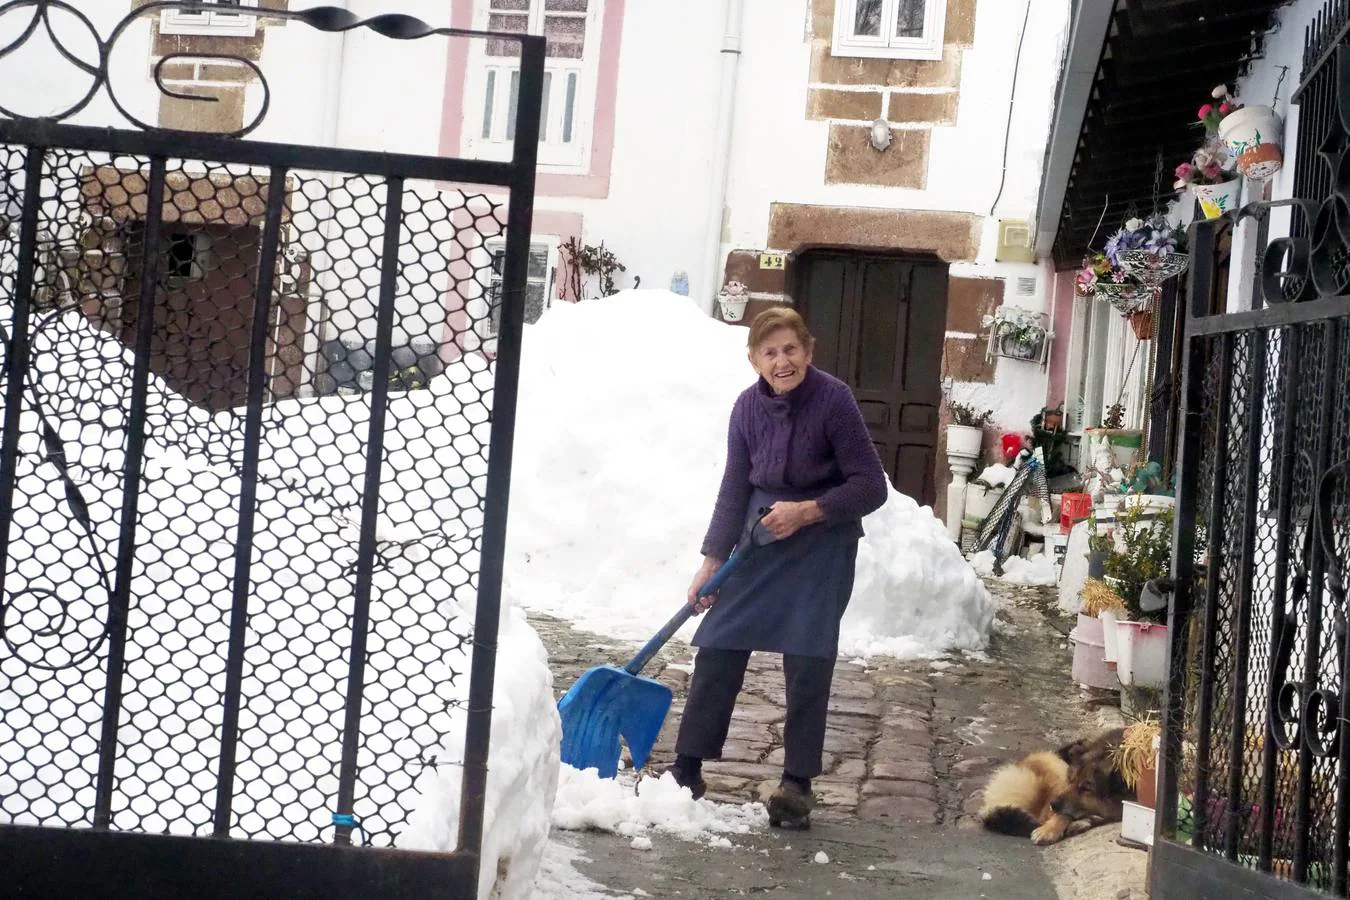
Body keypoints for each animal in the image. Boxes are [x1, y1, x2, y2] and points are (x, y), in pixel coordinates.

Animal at [977, 728, 1134, 847]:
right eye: (1070, 780)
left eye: (1085, 789)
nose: (1053, 804)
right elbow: (1060, 814)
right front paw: (1048, 830)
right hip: (1054, 764)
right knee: (1044, 815)